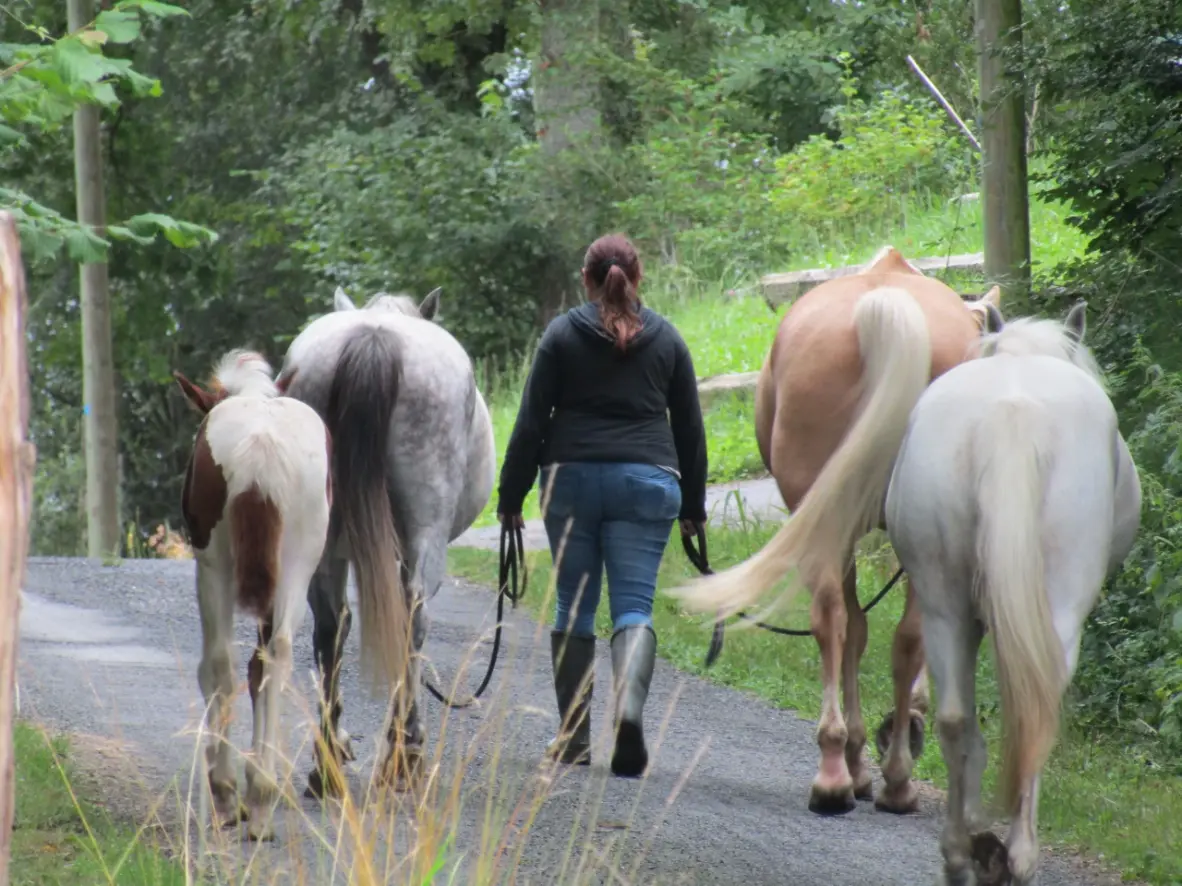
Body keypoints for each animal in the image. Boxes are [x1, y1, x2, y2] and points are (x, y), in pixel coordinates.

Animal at [171, 349, 330, 841]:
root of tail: (261, 444)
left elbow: (222, 668)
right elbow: (260, 668)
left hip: (215, 568)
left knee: (219, 662)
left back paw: (227, 795)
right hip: (296, 566)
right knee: (275, 656)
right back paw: (260, 797)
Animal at [276, 285, 494, 798]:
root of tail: (373, 338)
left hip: (323, 536)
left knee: (331, 625)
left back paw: (326, 762)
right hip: (424, 532)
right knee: (413, 616)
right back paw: (404, 753)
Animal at [676, 246, 997, 817]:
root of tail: (884, 307)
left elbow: (857, 629)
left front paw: (859, 756)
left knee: (836, 621)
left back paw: (838, 775)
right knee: (902, 634)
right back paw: (892, 779)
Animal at [888, 302, 1144, 883]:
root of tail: (1010, 418)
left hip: (942, 605)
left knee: (955, 718)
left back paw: (962, 853)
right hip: (1061, 606)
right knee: (1036, 715)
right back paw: (1017, 858)